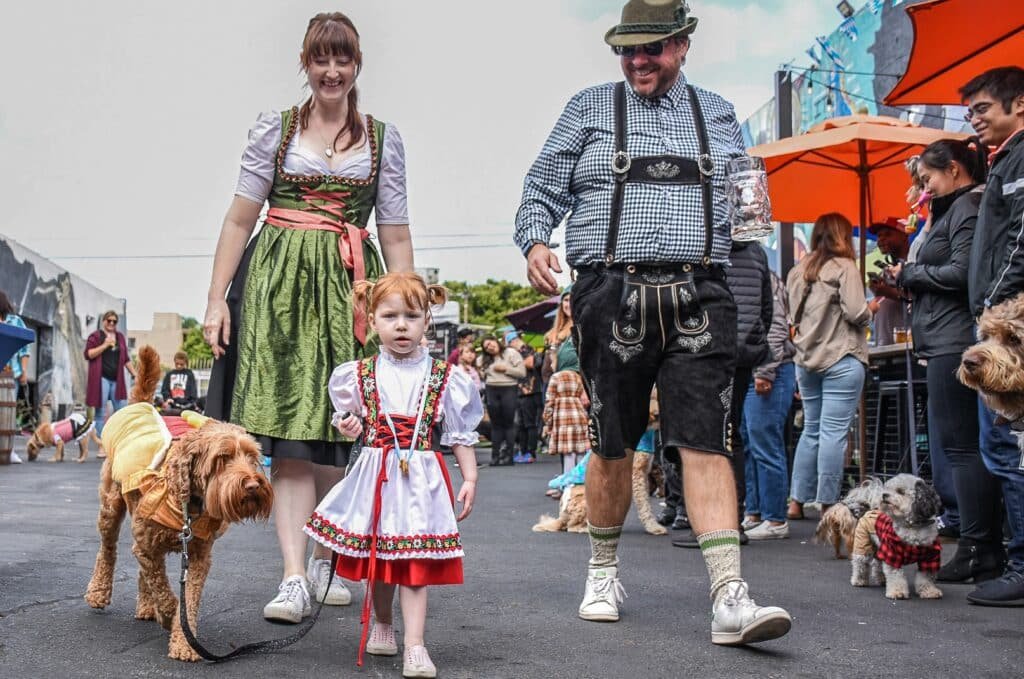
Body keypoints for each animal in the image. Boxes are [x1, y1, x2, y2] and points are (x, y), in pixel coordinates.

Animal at [82, 348, 272, 659]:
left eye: (252, 456)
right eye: (222, 458)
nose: (254, 485)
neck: (188, 505)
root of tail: (142, 405)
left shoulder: (198, 556)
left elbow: (188, 598)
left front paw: (184, 642)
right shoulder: (147, 546)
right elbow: (165, 591)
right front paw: (169, 616)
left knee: (142, 571)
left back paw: (146, 607)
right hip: (110, 508)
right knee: (108, 550)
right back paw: (99, 592)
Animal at [847, 473, 942, 602]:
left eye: (900, 491)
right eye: (888, 489)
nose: (884, 495)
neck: (912, 526)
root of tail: (872, 509)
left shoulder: (930, 557)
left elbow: (926, 577)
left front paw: (929, 591)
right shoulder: (893, 554)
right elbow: (896, 576)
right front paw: (897, 592)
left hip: (880, 548)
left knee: (877, 565)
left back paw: (882, 579)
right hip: (863, 544)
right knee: (860, 563)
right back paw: (859, 580)